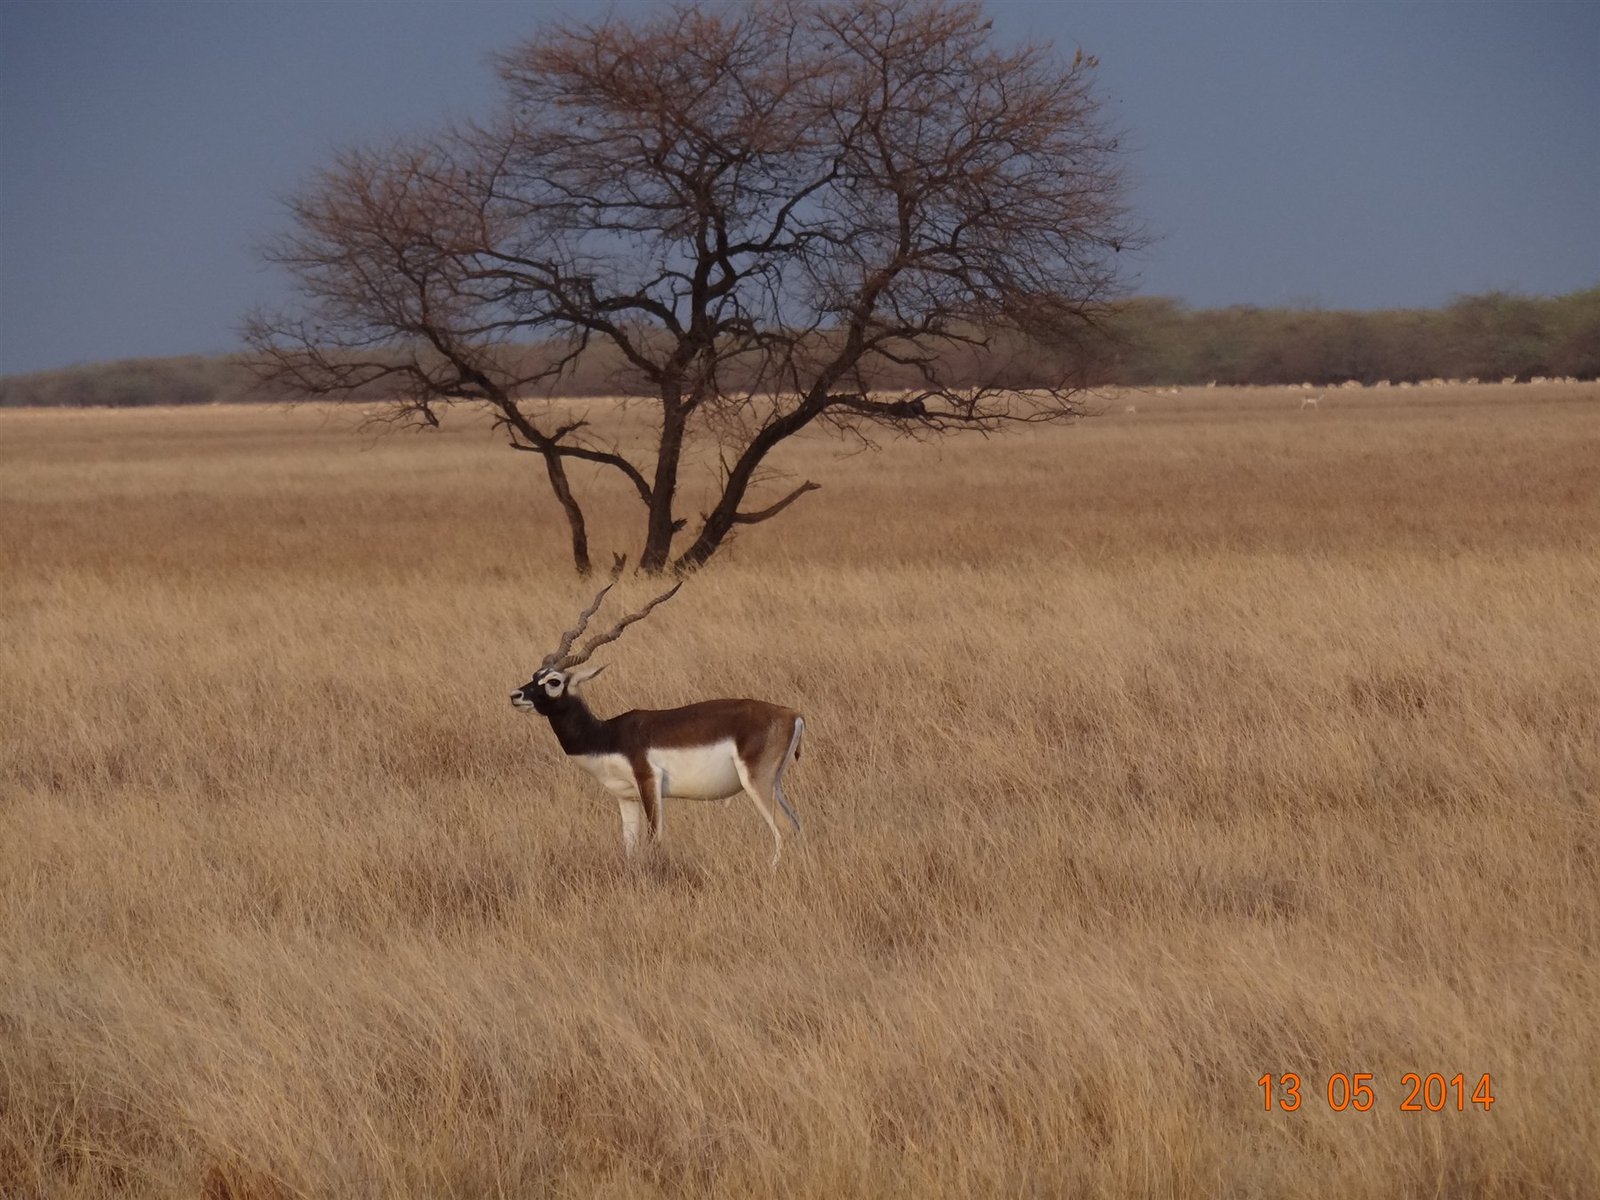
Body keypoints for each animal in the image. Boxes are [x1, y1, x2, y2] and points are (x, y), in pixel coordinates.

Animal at [510, 573, 805, 867]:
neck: (607, 736)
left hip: (756, 781)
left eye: (554, 681)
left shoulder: (649, 781)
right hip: (774, 783)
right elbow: (629, 846)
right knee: (796, 824)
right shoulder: (626, 796)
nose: (515, 695)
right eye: (535, 675)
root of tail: (792, 713)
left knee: (785, 828)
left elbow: (654, 840)